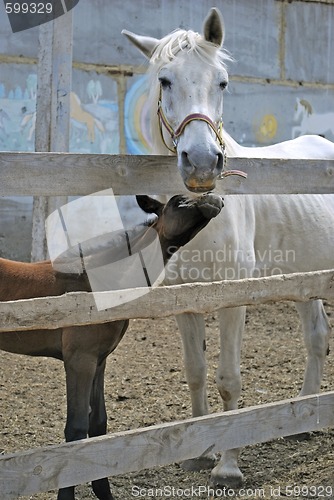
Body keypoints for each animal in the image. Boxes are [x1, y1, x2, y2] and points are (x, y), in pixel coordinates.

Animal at [122, 6, 334, 488]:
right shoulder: (184, 299)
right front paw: (197, 454)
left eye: (221, 82)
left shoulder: (233, 297)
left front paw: (228, 466)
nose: (202, 163)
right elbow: (197, 373)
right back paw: (305, 419)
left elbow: (229, 379)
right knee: (316, 336)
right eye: (165, 80)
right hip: (304, 281)